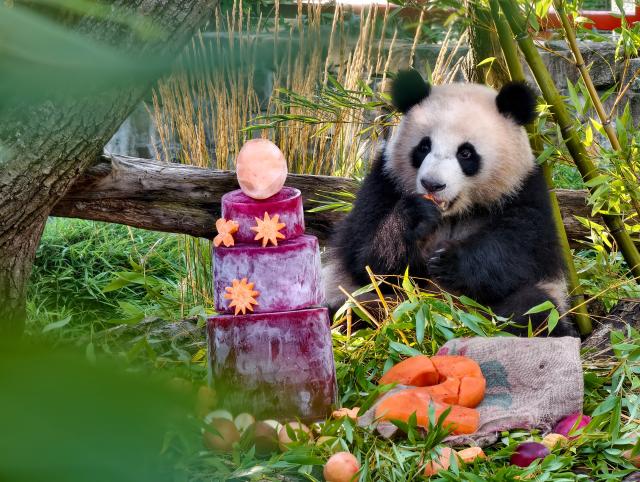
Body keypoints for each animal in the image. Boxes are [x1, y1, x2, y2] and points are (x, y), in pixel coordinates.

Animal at [323, 69, 577, 337]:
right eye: (424, 147)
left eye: (466, 153)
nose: (432, 184)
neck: (454, 214)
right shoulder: (383, 182)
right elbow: (368, 259)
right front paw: (416, 216)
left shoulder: (524, 189)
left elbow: (522, 248)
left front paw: (448, 262)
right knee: (356, 309)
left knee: (532, 309)